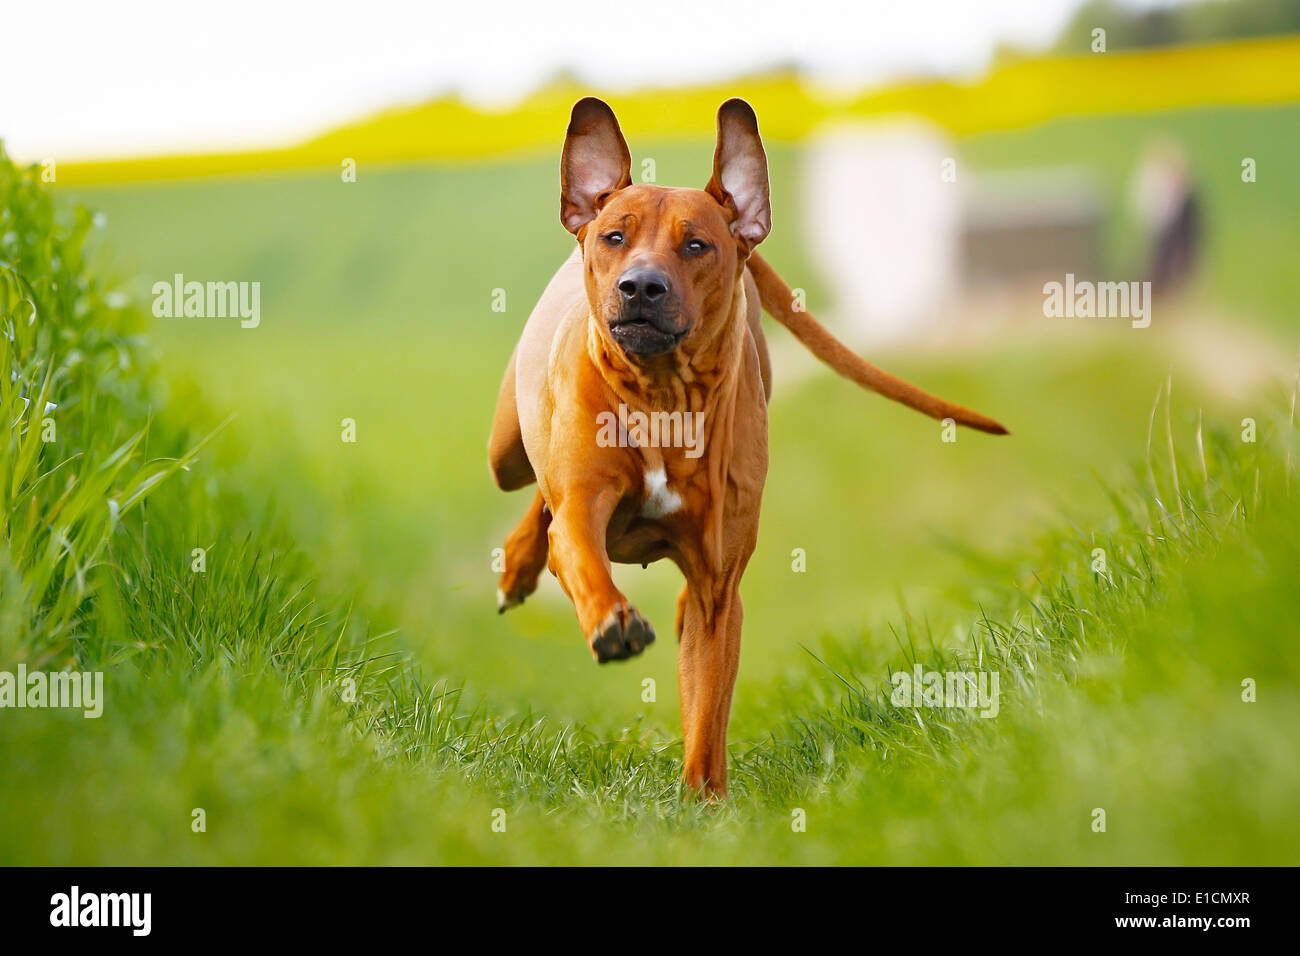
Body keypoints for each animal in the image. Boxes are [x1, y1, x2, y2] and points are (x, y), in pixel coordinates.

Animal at [488, 97, 1003, 801]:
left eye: (696, 244)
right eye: (615, 237)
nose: (640, 286)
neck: (662, 401)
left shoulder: (718, 584)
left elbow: (708, 705)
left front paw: (704, 800)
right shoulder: (582, 511)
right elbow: (580, 551)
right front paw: (613, 619)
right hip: (505, 450)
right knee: (537, 497)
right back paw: (518, 564)